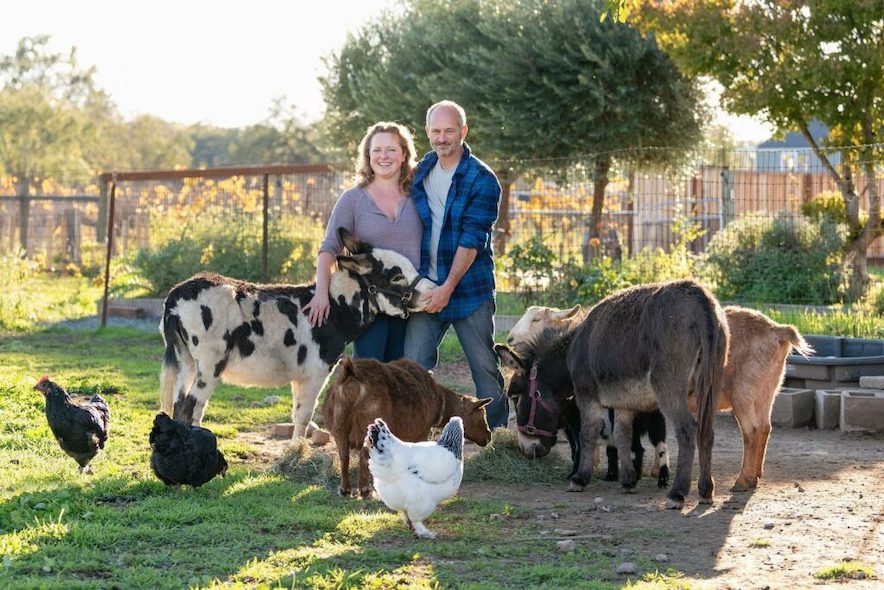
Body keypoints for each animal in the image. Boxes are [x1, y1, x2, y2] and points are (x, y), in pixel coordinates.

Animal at [322, 356, 494, 500]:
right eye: (481, 414)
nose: (488, 436)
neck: (440, 402)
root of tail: (351, 374)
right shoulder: (420, 433)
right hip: (367, 428)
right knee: (364, 457)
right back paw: (365, 491)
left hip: (339, 426)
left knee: (344, 457)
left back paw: (345, 490)